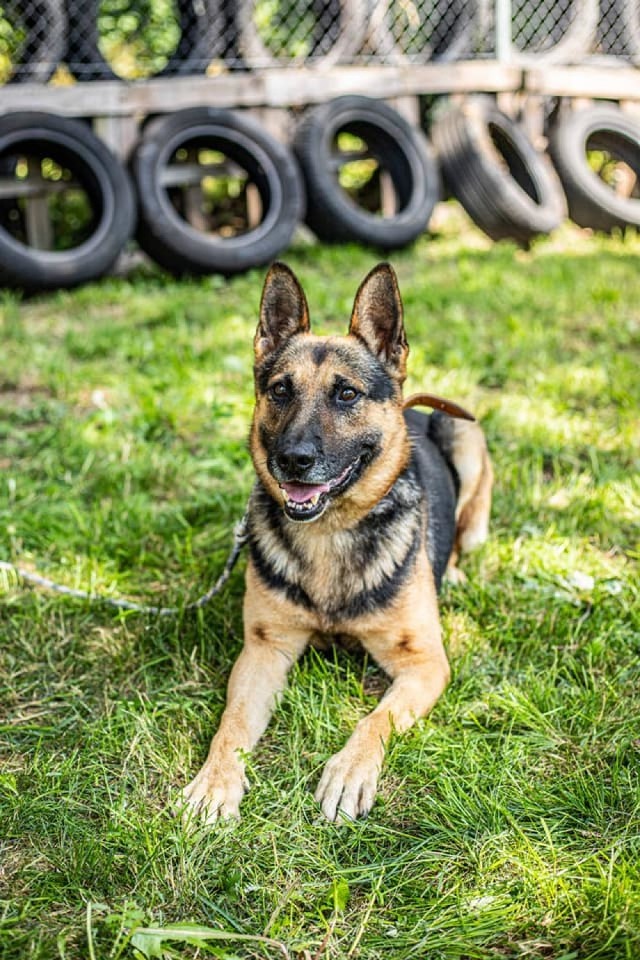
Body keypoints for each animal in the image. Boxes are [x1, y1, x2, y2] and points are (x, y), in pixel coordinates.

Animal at [182, 262, 492, 824]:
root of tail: (414, 407)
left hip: (462, 436)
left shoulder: (424, 663)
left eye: (346, 394)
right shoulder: (264, 650)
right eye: (281, 390)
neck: (331, 531)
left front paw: (349, 770)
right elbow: (232, 722)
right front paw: (216, 782)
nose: (292, 460)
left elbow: (376, 718)